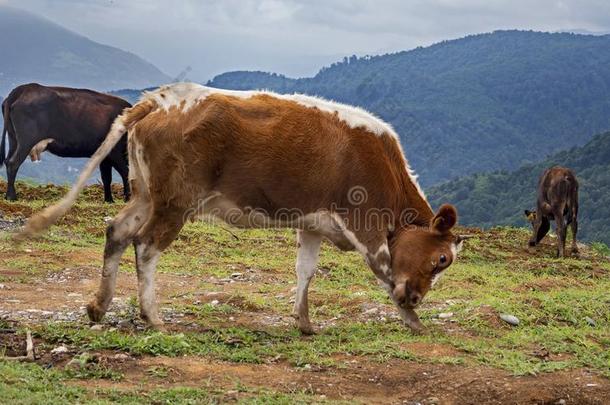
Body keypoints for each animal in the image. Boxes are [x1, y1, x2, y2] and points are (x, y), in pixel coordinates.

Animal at [1, 83, 131, 201]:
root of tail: (22, 89)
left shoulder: (105, 157)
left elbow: (106, 178)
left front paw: (109, 200)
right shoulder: (115, 152)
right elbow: (126, 172)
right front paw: (128, 198)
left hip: (14, 139)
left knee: (8, 161)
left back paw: (7, 196)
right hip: (26, 141)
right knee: (13, 163)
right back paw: (12, 197)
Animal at [19, 81, 466, 332]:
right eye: (441, 258)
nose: (415, 298)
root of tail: (163, 98)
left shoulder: (312, 224)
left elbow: (305, 271)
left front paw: (305, 323)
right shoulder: (366, 226)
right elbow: (385, 272)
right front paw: (414, 321)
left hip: (147, 194)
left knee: (117, 231)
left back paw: (99, 306)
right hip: (175, 203)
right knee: (145, 246)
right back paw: (153, 317)